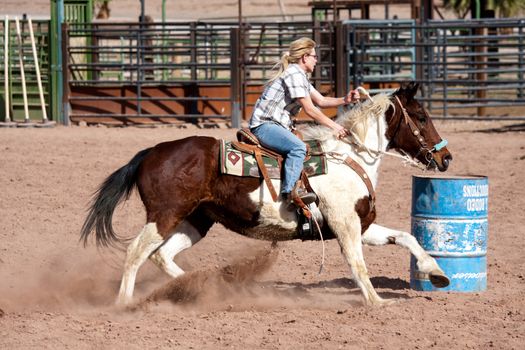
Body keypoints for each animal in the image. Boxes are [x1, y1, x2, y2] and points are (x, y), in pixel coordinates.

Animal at [81, 82, 450, 306]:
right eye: (421, 116)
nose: (445, 158)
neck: (350, 156)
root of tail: (152, 152)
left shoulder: (363, 225)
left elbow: (405, 237)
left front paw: (436, 273)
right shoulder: (345, 224)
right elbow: (357, 263)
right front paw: (377, 301)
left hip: (196, 221)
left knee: (162, 256)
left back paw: (208, 288)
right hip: (164, 215)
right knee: (136, 253)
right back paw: (124, 303)